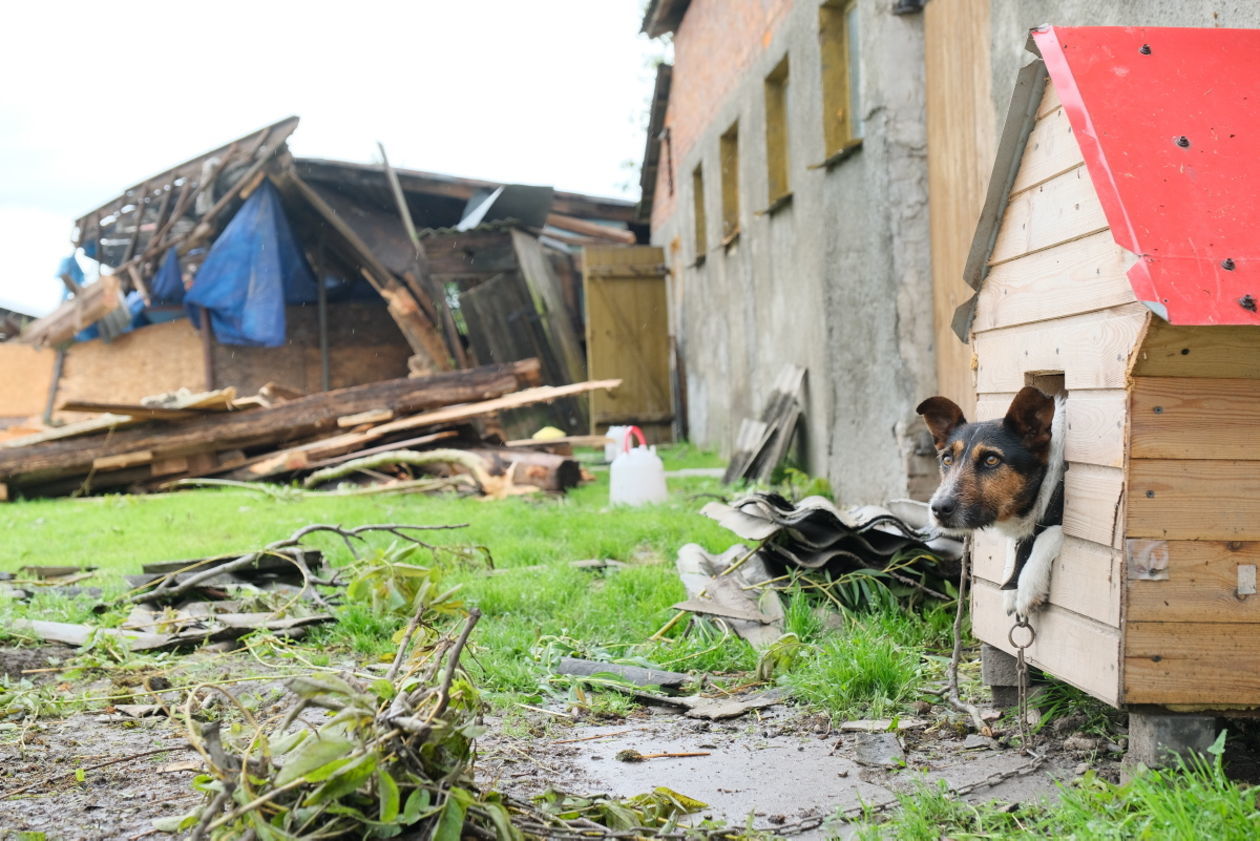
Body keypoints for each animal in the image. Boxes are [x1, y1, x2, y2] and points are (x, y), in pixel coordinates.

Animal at [917, 388, 1063, 617]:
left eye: (991, 460)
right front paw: (1011, 589)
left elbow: (1050, 534)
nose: (938, 509)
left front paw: (1028, 586)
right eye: (947, 460)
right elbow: (1014, 547)